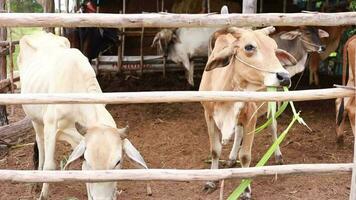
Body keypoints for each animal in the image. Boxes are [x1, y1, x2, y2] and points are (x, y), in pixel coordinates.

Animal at [17, 31, 149, 200]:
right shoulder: (51, 124)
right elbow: (50, 166)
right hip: (36, 119)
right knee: (40, 145)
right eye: (88, 159)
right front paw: (43, 193)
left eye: (118, 162)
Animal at [199, 26, 296, 198]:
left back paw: (278, 155)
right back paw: (231, 158)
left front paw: (245, 189)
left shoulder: (251, 117)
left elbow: (245, 156)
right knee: (238, 132)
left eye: (274, 49)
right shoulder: (208, 115)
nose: (284, 76)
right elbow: (215, 150)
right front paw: (211, 181)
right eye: (249, 47)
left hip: (271, 104)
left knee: (273, 126)